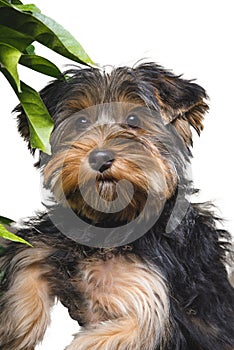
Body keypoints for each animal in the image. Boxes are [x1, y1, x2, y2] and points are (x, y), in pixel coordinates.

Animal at [0, 63, 233, 350]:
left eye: (134, 120)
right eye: (81, 122)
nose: (99, 157)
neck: (109, 222)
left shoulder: (151, 305)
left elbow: (122, 333)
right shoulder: (42, 244)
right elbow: (23, 272)